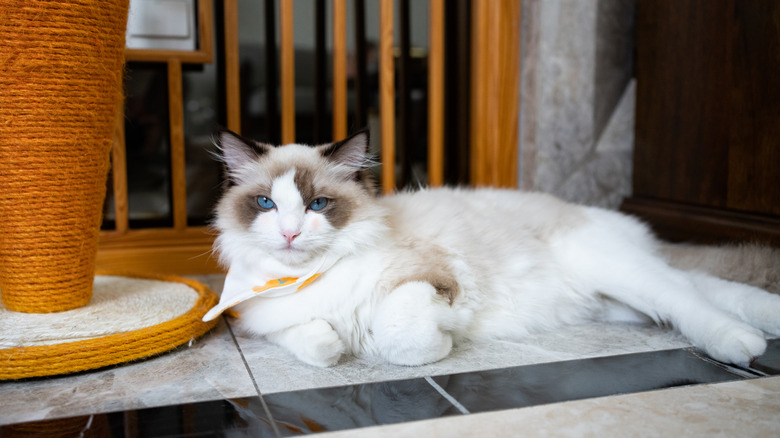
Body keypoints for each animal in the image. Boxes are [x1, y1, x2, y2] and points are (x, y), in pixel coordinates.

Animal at [203, 128, 780, 368]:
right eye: (265, 203)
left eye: (318, 204)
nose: (290, 234)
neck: (309, 276)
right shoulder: (271, 323)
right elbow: (316, 346)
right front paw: (334, 342)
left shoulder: (432, 279)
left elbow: (401, 337)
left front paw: (442, 340)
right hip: (620, 304)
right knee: (699, 284)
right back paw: (766, 321)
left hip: (617, 273)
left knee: (687, 296)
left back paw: (742, 343)